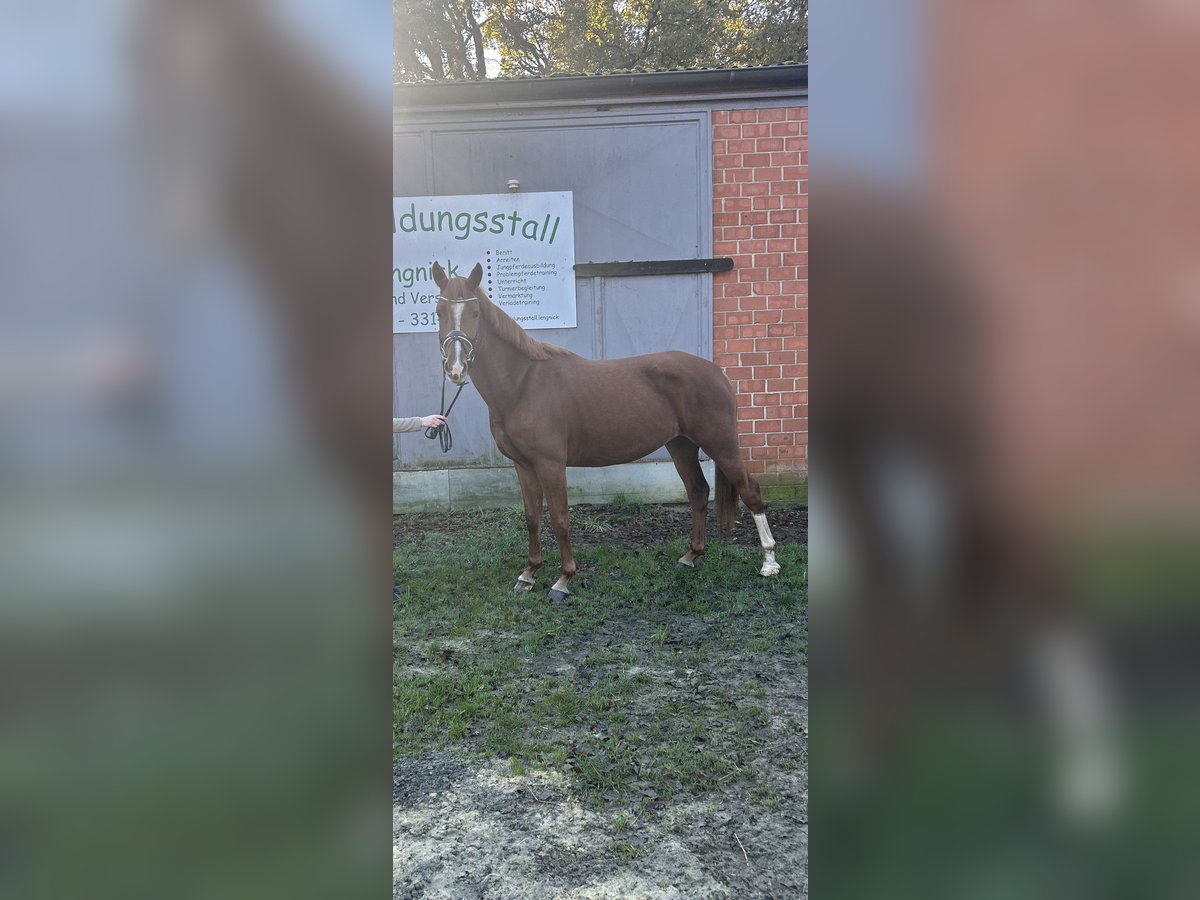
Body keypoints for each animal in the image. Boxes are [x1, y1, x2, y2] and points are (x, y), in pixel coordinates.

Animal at [436, 262, 782, 600]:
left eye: (475, 313)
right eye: (439, 311)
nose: (456, 369)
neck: (524, 384)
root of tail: (716, 372)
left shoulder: (550, 464)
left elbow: (559, 518)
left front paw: (563, 579)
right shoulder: (523, 465)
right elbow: (532, 517)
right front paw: (529, 574)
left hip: (720, 443)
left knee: (750, 491)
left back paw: (769, 561)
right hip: (681, 445)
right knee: (698, 491)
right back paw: (691, 556)